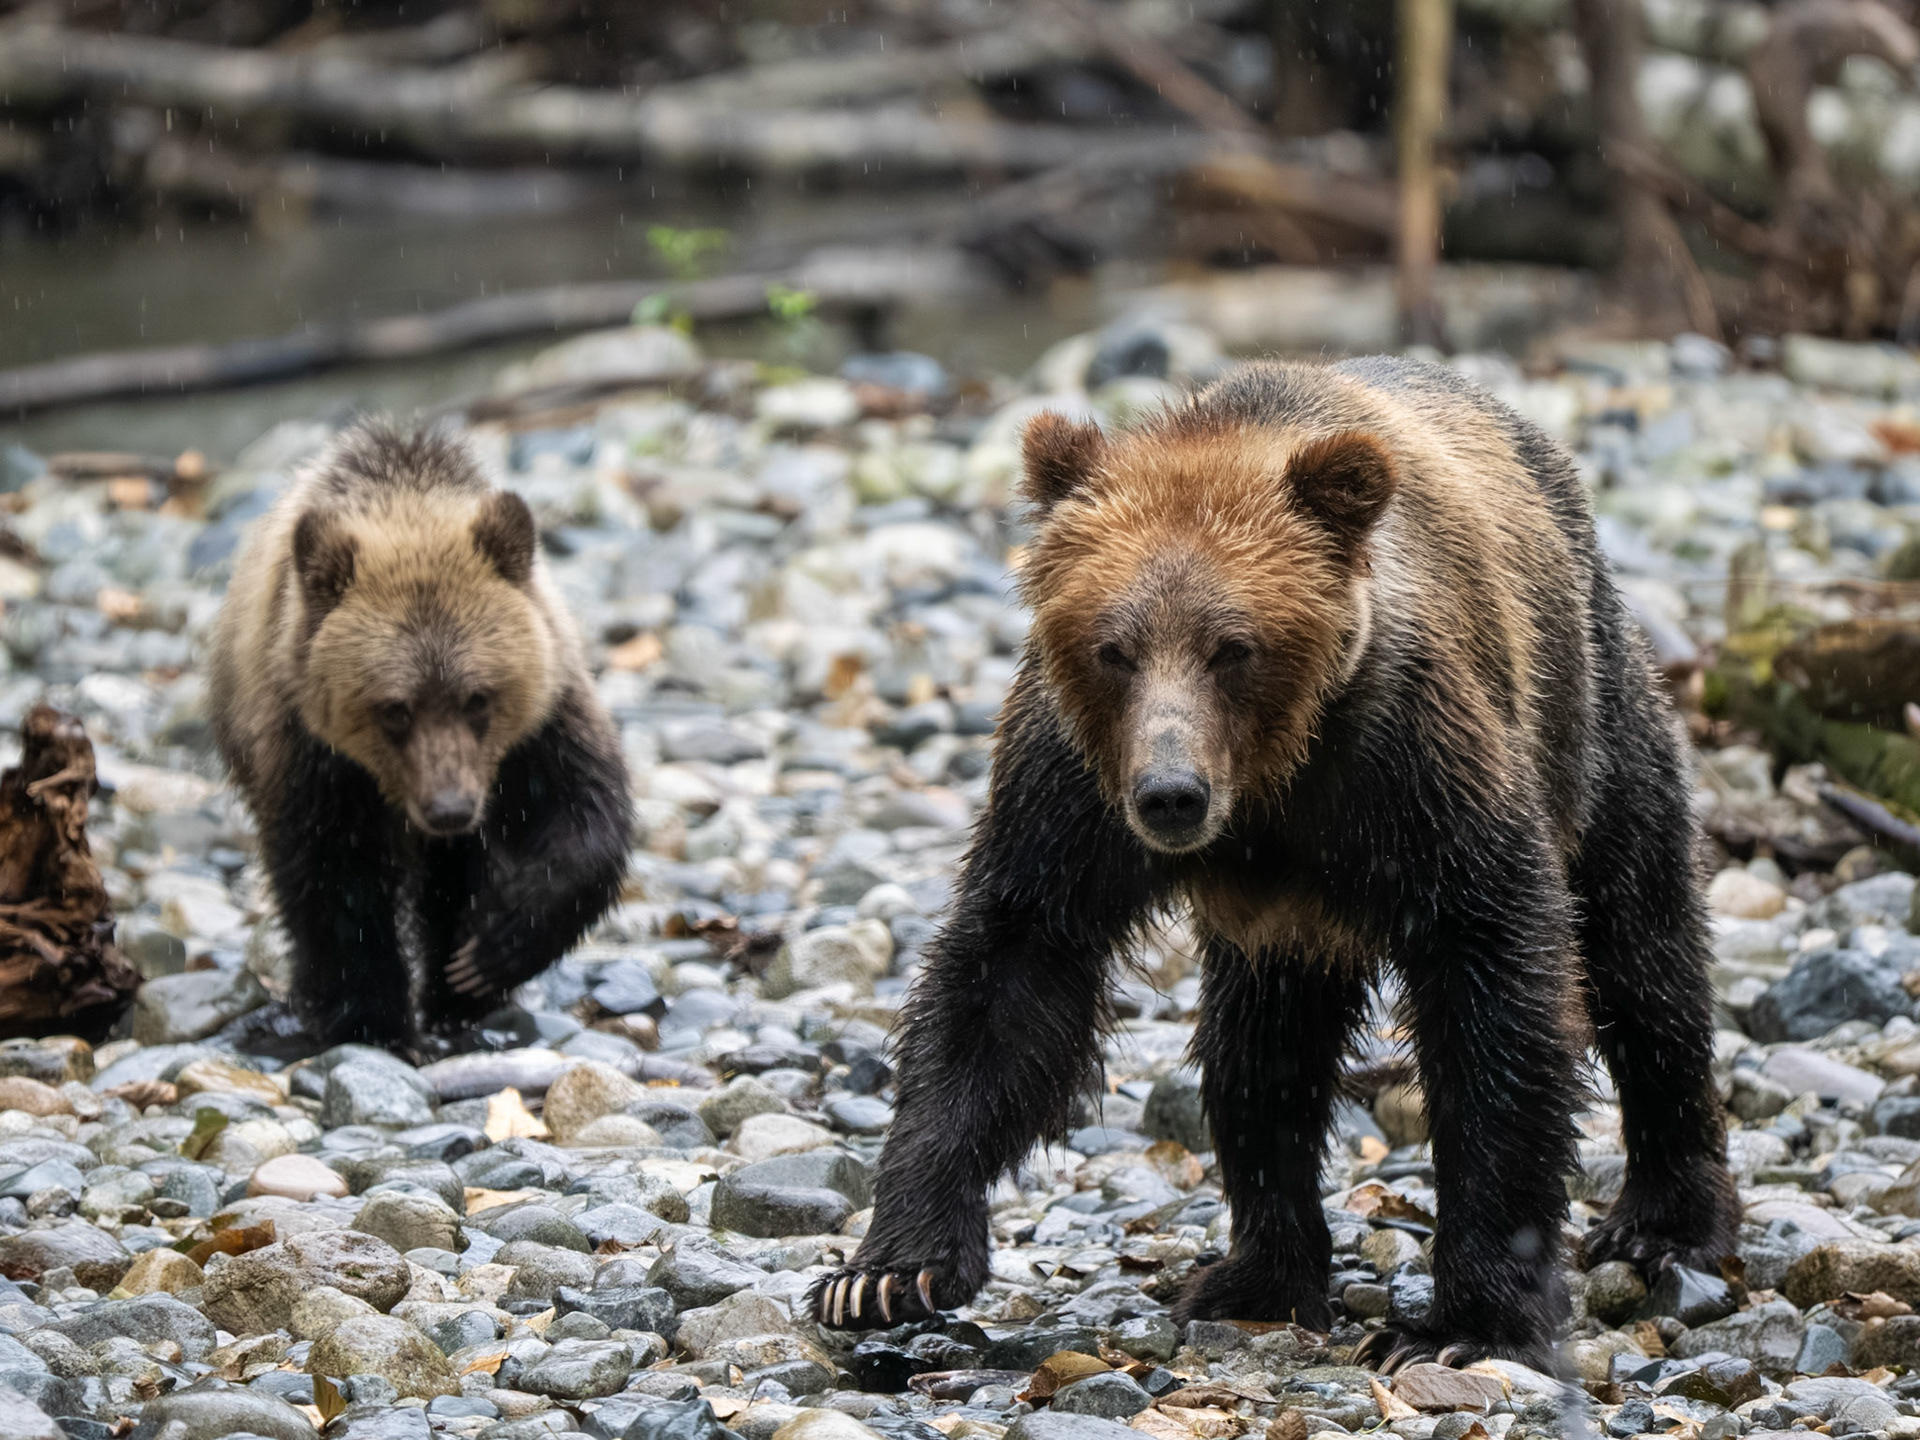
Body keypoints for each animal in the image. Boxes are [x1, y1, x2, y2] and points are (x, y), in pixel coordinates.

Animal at [209, 421, 632, 1053]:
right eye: (395, 709)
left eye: (478, 697)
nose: (449, 808)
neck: (408, 497)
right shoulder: (314, 756)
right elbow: (334, 881)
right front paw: (371, 1020)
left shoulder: (542, 726)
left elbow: (588, 817)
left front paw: (492, 948)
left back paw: (459, 999)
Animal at [811, 357, 1739, 1370]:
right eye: (1114, 648)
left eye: (1232, 647)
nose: (1170, 795)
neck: (1270, 782)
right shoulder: (1069, 792)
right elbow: (1009, 975)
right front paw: (884, 1272)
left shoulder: (1412, 762)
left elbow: (1495, 990)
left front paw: (1464, 1325)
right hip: (1281, 925)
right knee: (1259, 1051)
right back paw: (1258, 1274)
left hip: (1594, 716)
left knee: (1644, 955)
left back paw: (1665, 1221)